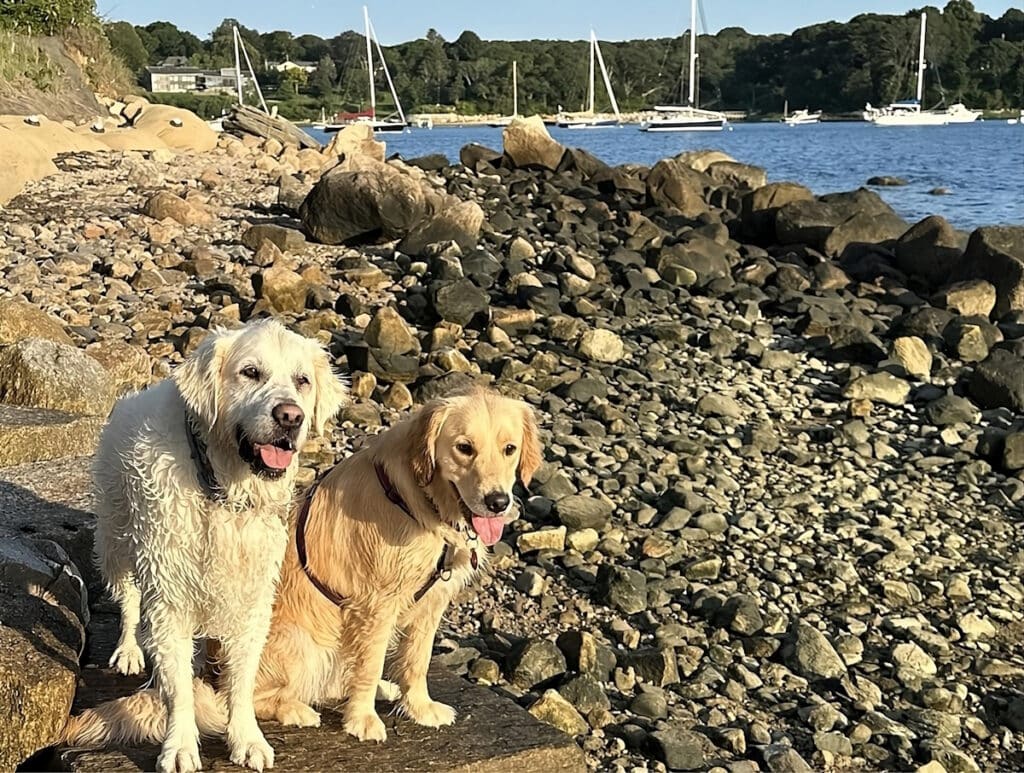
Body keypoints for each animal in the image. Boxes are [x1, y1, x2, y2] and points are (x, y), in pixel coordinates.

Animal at [93, 319, 348, 773]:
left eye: (302, 380)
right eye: (250, 372)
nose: (290, 416)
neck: (222, 487)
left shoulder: (252, 598)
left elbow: (241, 680)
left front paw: (247, 739)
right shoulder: (171, 595)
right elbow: (178, 688)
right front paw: (179, 747)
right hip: (116, 537)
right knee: (128, 599)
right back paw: (129, 651)